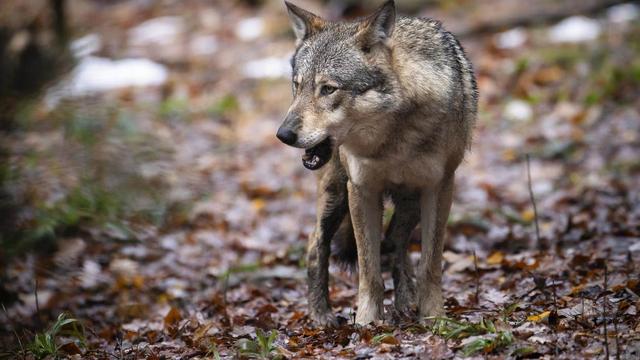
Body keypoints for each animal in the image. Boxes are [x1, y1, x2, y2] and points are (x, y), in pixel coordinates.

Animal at [278, 0, 478, 326]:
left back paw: (406, 300)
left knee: (394, 243)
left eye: (328, 89)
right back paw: (321, 315)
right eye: (297, 86)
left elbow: (430, 264)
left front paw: (433, 318)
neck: (392, 140)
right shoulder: (361, 190)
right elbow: (368, 269)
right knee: (315, 244)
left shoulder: (439, 187)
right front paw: (367, 323)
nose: (283, 135)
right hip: (336, 196)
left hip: (410, 203)